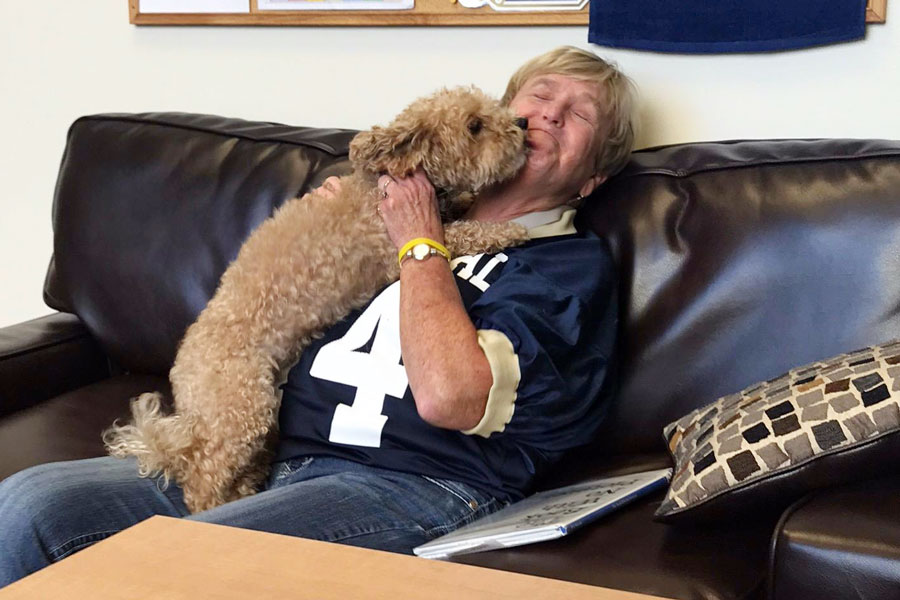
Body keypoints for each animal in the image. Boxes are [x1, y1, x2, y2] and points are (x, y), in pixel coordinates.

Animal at [102, 86, 532, 512]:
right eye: (474, 126)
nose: (523, 123)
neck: (388, 179)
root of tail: (183, 381)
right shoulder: (392, 244)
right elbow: (460, 233)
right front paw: (508, 230)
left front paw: (468, 203)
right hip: (242, 408)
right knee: (202, 475)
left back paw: (245, 488)